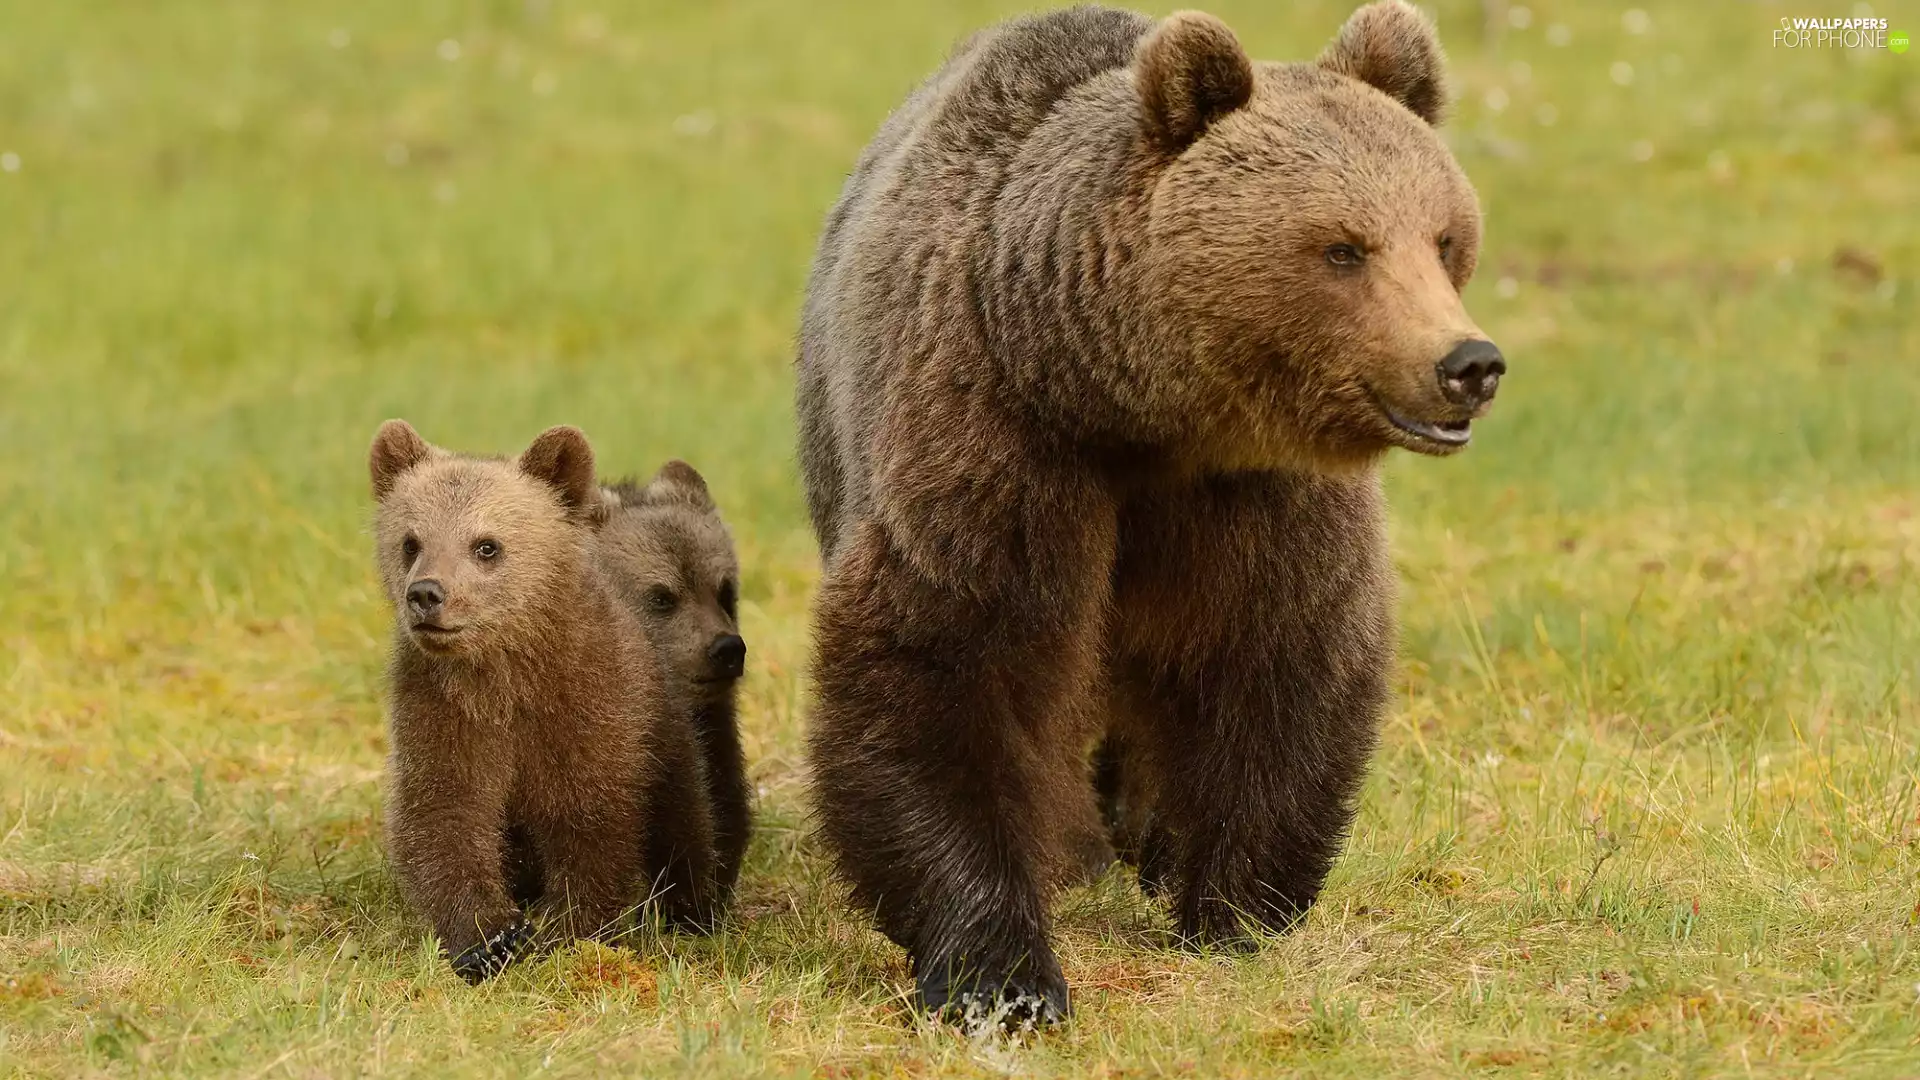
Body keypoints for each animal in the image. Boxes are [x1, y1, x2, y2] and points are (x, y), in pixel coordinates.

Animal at [369, 420, 716, 982]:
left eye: (486, 545)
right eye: (410, 541)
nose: (426, 594)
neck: (505, 675)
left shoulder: (586, 705)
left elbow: (590, 818)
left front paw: (567, 930)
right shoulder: (442, 709)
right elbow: (441, 814)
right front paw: (492, 938)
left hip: (664, 729)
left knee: (683, 813)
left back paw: (692, 908)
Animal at [796, 2, 1504, 1028]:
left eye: (1444, 239)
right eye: (1343, 247)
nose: (1468, 364)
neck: (1135, 413)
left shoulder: (1259, 494)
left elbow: (1281, 654)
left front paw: (1230, 908)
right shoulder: (992, 435)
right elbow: (946, 652)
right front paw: (1002, 972)